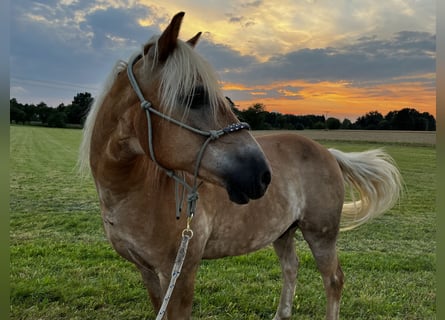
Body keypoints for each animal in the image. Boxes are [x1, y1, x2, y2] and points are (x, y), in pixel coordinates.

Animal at [78, 11, 400, 320]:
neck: (134, 191)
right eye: (195, 96)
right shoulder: (148, 273)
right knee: (291, 267)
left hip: (321, 234)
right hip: (283, 232)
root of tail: (328, 153)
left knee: (333, 280)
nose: (262, 175)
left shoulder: (179, 274)